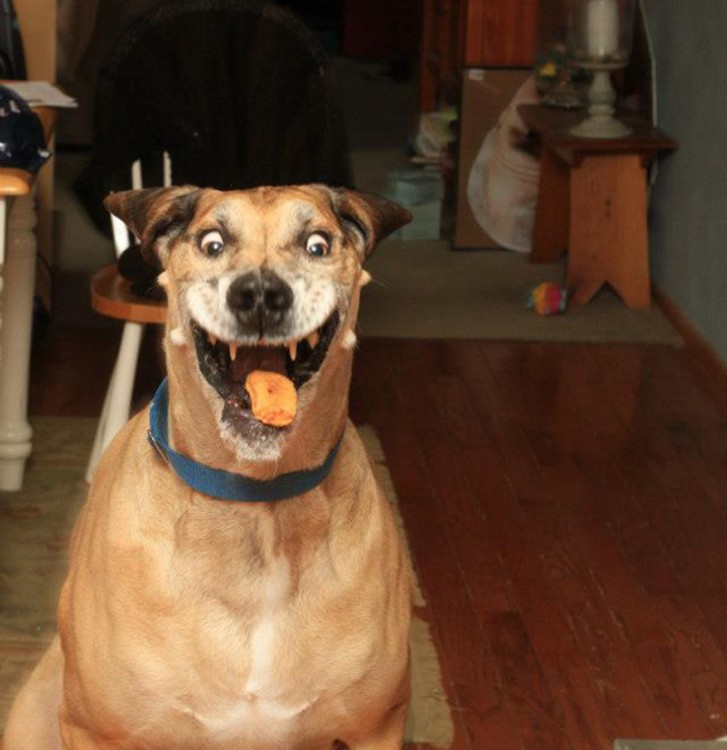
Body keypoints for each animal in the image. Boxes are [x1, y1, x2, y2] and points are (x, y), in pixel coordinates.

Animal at [5, 185, 412, 748]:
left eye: (317, 245)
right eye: (212, 243)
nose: (260, 294)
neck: (255, 505)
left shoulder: (376, 727)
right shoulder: (95, 730)